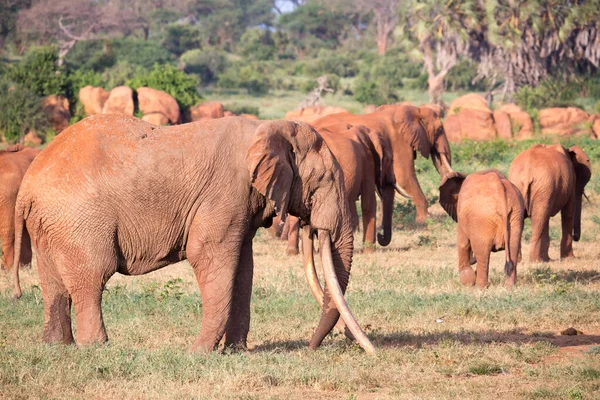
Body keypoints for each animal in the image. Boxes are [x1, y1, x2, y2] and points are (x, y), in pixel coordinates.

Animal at [14, 115, 376, 354]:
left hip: (51, 223)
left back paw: (57, 347)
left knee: (53, 284)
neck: (270, 127)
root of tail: (28, 184)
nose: (312, 348)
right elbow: (210, 257)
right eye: (324, 179)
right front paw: (200, 353)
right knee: (92, 277)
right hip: (79, 218)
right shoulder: (225, 192)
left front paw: (235, 351)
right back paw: (97, 348)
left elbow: (243, 269)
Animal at [282, 121, 412, 253]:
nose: (380, 236)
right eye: (390, 160)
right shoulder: (367, 162)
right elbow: (369, 202)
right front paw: (369, 252)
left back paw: (295, 252)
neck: (369, 133)